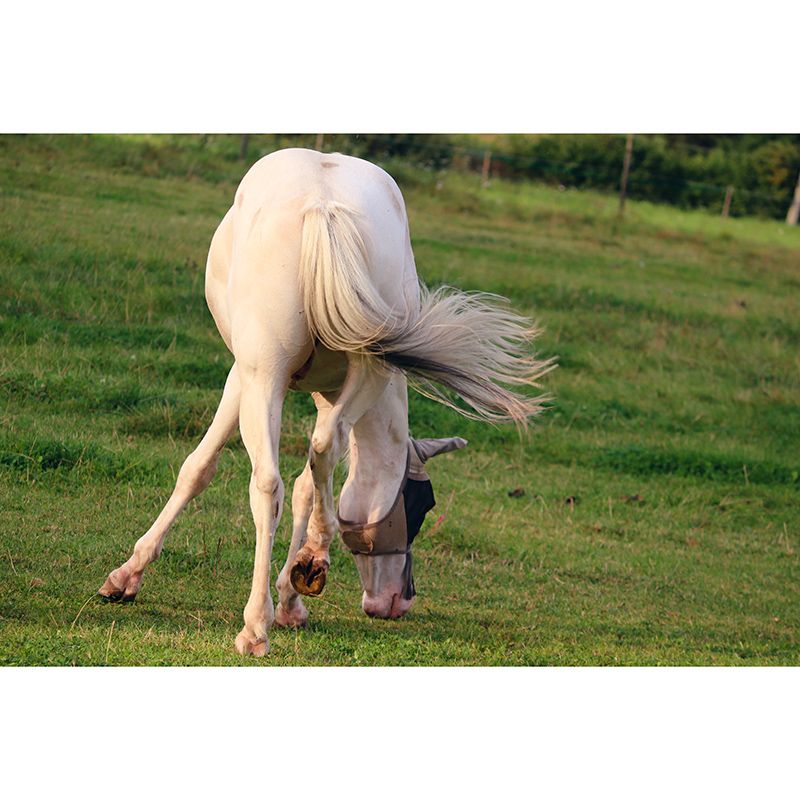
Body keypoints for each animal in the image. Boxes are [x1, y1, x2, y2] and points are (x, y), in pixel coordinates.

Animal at [98, 147, 552, 656]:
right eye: (420, 506)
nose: (399, 601)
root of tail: (323, 206)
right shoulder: (279, 384)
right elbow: (259, 476)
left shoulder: (250, 377)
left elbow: (242, 474)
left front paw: (287, 593)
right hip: (357, 370)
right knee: (318, 450)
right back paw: (301, 570)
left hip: (271, 377)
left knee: (271, 483)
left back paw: (259, 621)